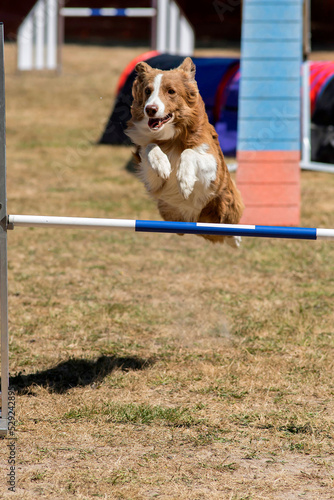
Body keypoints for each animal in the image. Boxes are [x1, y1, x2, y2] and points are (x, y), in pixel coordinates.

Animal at [125, 57, 243, 245]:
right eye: (147, 91)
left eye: (171, 91)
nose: (150, 109)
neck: (171, 137)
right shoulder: (153, 180)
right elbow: (150, 147)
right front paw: (163, 165)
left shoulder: (212, 168)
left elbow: (188, 152)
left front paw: (185, 181)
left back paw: (236, 238)